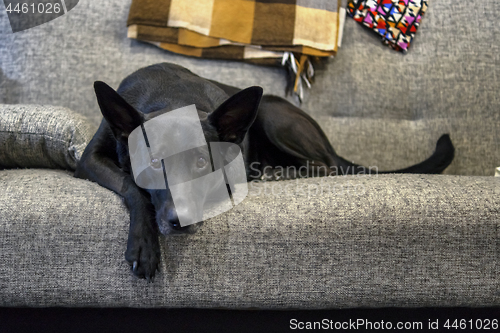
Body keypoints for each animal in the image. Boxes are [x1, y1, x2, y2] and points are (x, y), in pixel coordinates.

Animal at [73, 62, 454, 280]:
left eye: (202, 162)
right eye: (154, 163)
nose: (179, 220)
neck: (169, 98)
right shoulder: (89, 160)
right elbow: (132, 186)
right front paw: (144, 245)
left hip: (272, 114)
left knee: (326, 166)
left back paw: (277, 172)